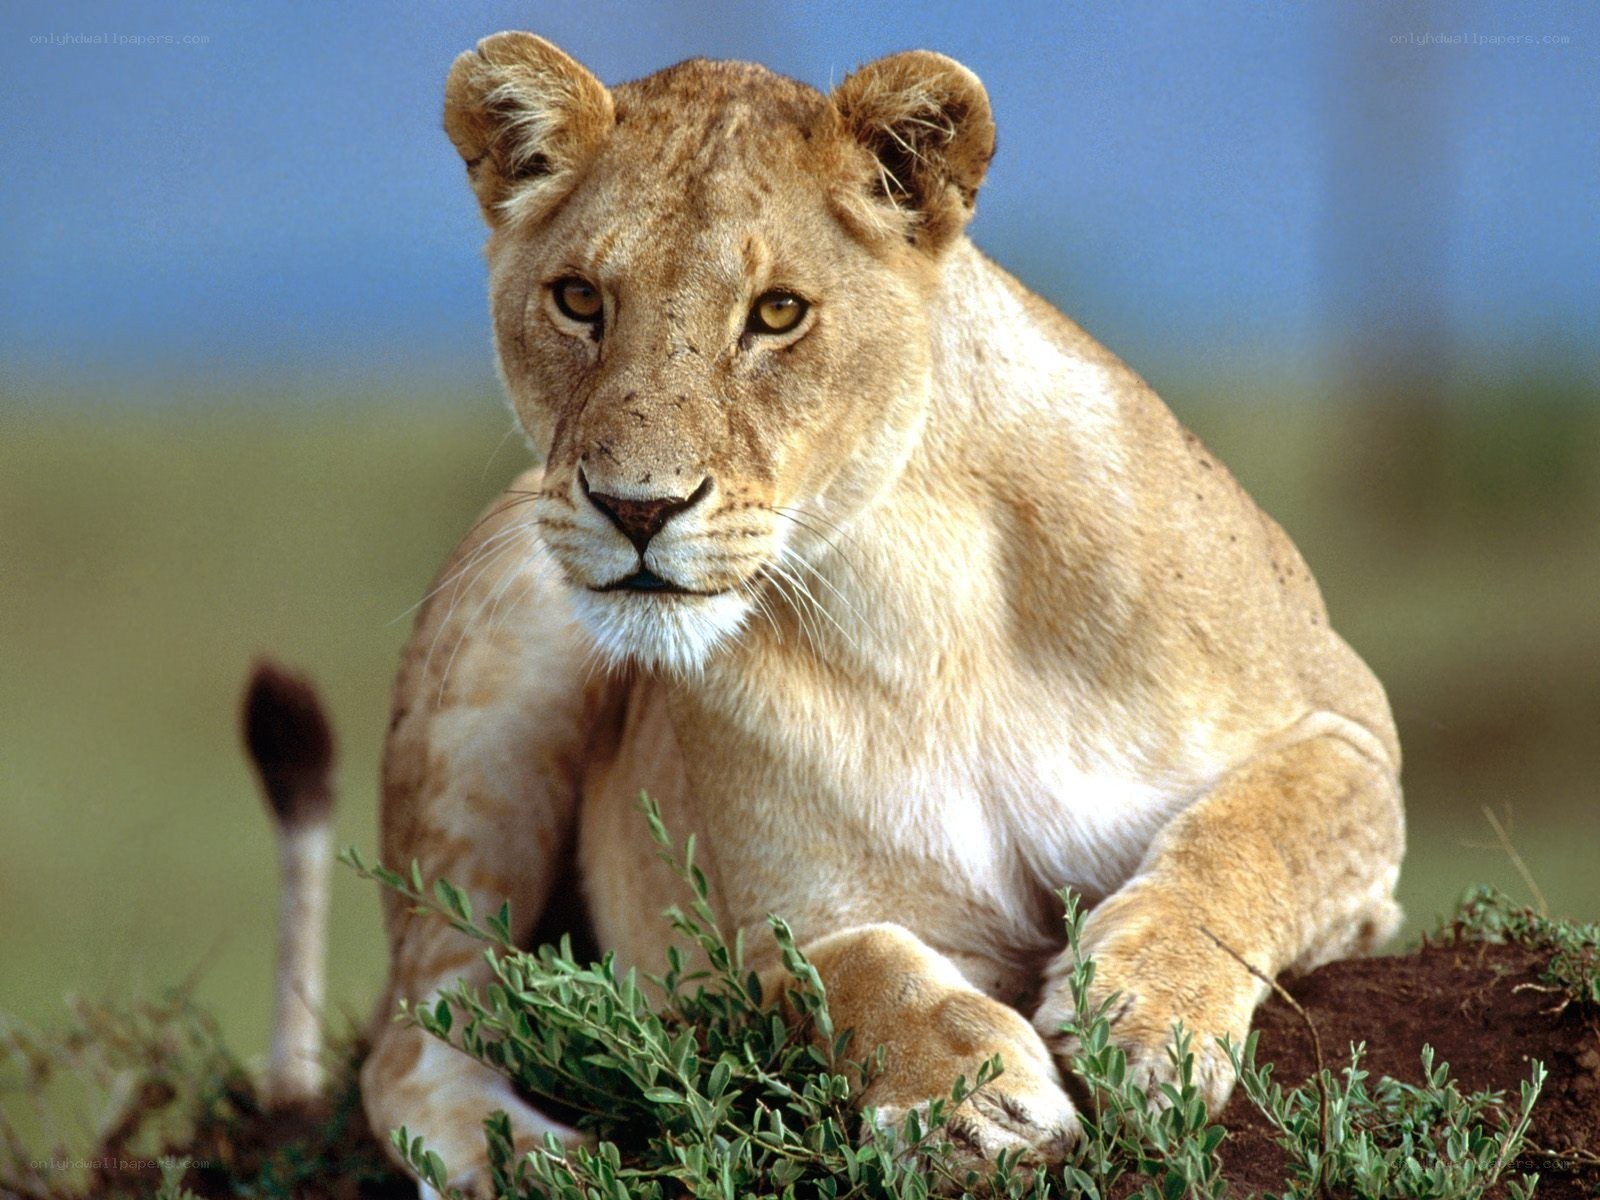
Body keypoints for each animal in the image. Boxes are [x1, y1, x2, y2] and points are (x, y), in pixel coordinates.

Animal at [349, 33, 1404, 1194]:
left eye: (777, 313)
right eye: (579, 299)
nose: (637, 508)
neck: (924, 591)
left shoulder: (1349, 728)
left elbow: (1255, 835)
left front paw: (1146, 1012)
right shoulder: (786, 921)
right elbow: (845, 970)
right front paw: (969, 1101)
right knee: (410, 1044)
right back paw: (560, 1163)